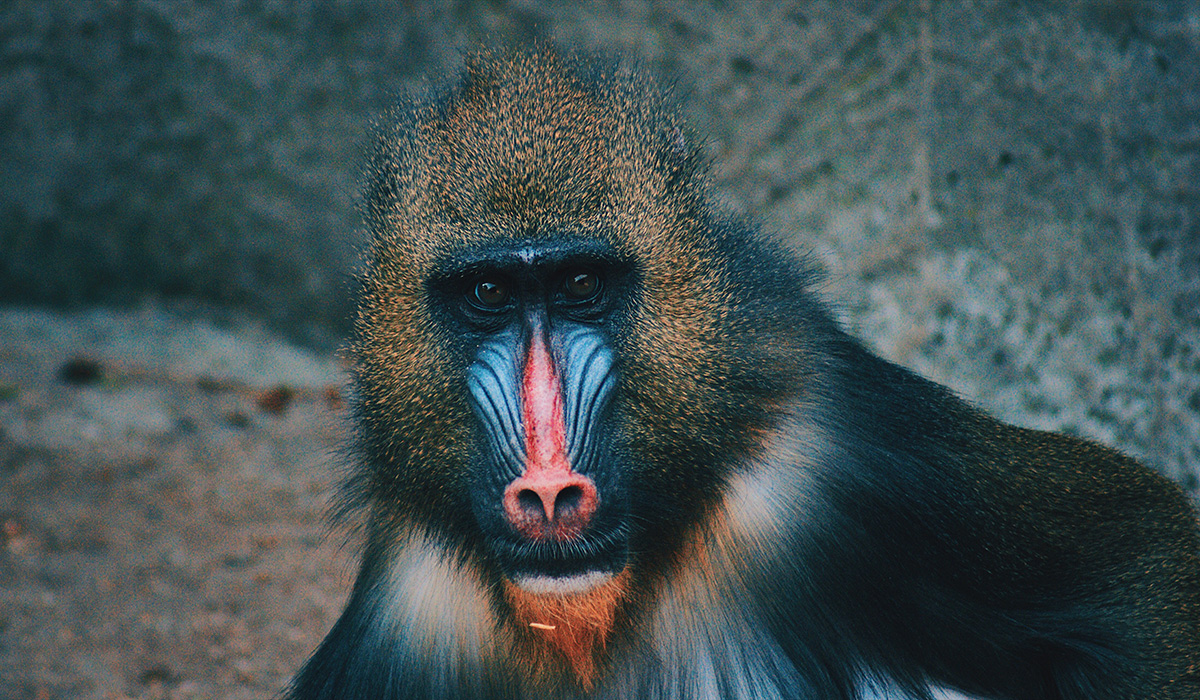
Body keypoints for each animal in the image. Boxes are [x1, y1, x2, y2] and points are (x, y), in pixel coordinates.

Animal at [285, 47, 1200, 700]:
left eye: (581, 285)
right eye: (487, 294)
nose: (548, 491)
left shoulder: (833, 454)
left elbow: (1134, 560)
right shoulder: (409, 608)